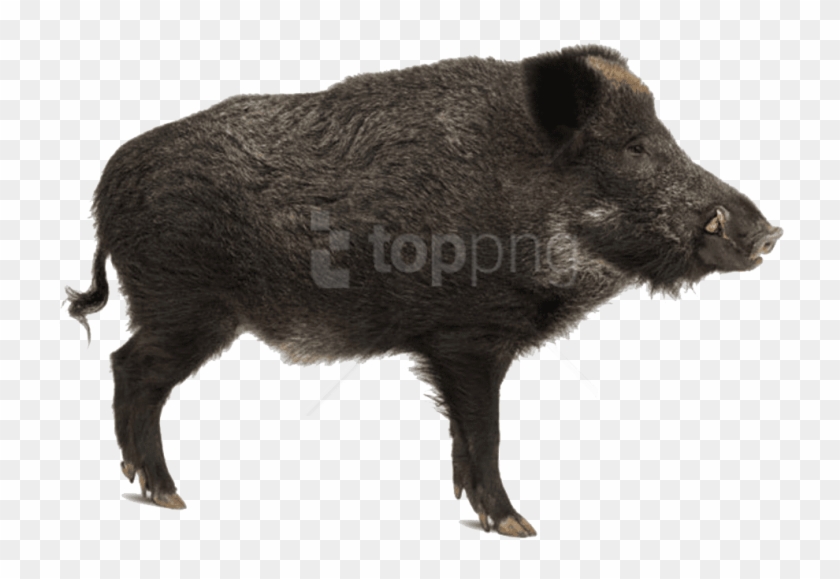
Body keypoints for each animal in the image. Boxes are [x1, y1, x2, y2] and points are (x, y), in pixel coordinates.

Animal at [66, 44, 782, 537]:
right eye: (634, 147)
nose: (770, 232)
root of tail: (107, 190)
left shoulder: (455, 345)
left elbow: (466, 436)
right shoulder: (467, 337)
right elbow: (486, 430)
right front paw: (519, 528)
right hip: (187, 306)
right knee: (130, 367)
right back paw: (169, 495)